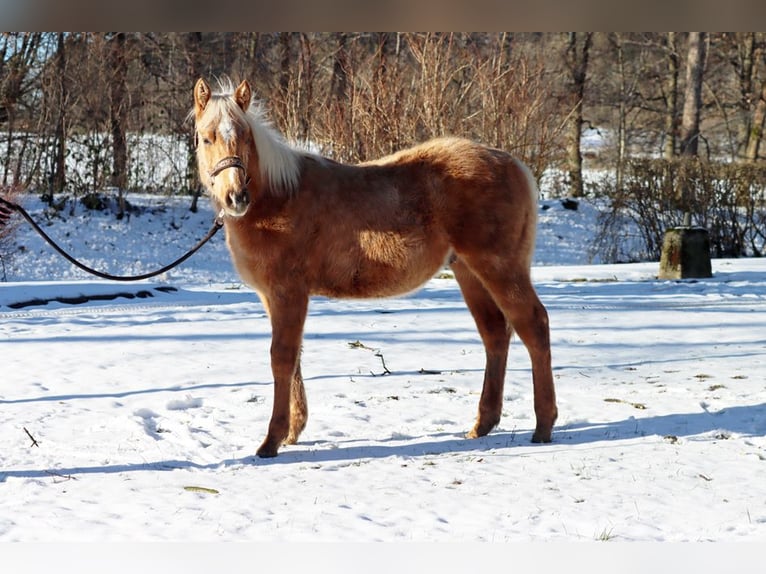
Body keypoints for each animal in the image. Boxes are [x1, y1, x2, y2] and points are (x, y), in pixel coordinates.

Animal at [192, 79, 560, 462]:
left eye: (245, 137)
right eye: (206, 138)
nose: (236, 198)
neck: (277, 200)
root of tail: (513, 164)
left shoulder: (287, 294)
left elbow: (282, 358)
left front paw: (271, 441)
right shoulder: (273, 297)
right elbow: (294, 358)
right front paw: (293, 431)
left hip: (499, 268)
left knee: (533, 325)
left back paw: (543, 425)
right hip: (469, 273)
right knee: (495, 333)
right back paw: (482, 424)